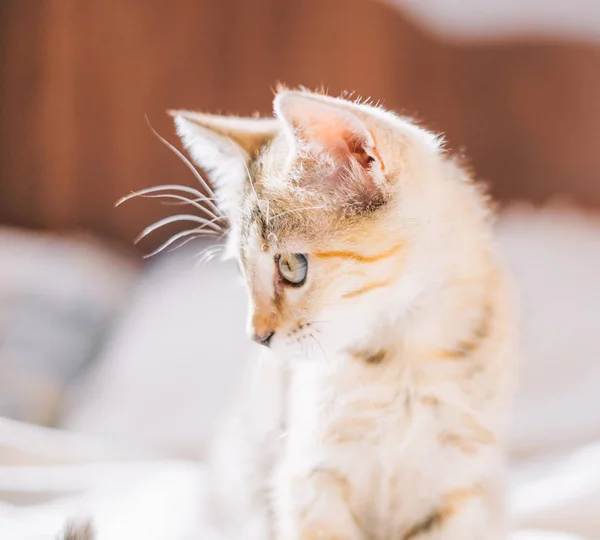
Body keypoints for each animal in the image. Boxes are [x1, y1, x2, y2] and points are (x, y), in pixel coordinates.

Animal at [172, 89, 516, 540]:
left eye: (292, 266)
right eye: (241, 271)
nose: (256, 336)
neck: (402, 360)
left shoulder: (463, 487)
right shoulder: (309, 479)